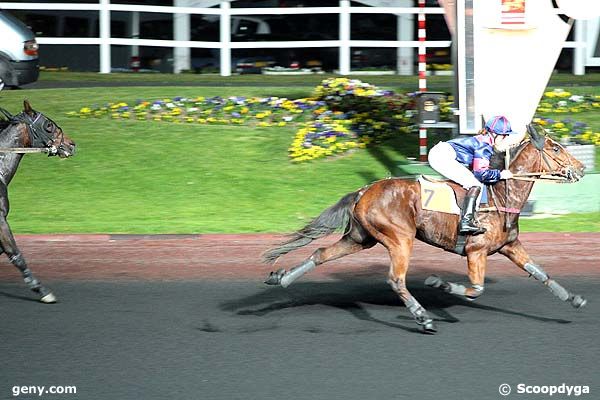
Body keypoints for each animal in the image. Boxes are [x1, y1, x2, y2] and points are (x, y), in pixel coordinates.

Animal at [264, 124, 588, 334]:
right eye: (556, 147)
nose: (582, 168)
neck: (501, 195)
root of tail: (363, 190)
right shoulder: (477, 251)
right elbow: (476, 289)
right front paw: (438, 283)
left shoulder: (510, 246)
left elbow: (541, 273)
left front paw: (574, 299)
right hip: (400, 239)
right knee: (396, 279)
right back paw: (423, 317)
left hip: (360, 238)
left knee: (320, 253)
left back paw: (281, 278)